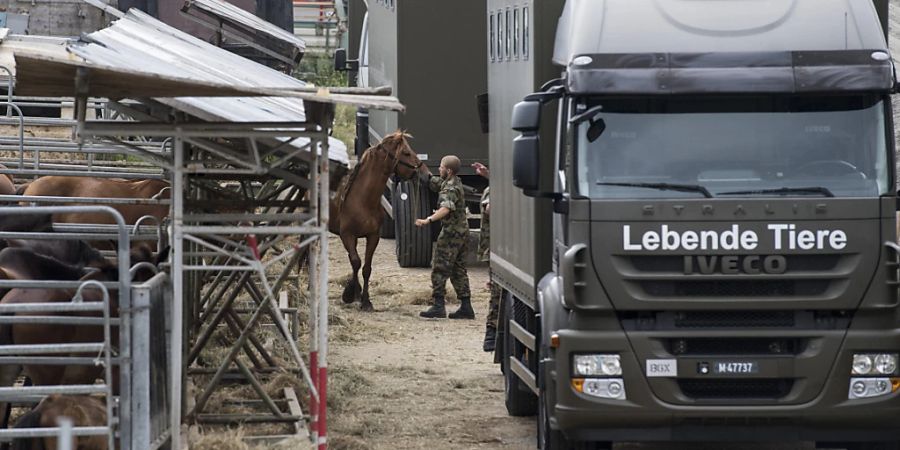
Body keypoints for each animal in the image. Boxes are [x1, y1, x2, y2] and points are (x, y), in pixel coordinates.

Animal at [330, 131, 426, 310]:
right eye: (406, 153)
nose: (426, 174)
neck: (362, 199)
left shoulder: (373, 236)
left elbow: (366, 267)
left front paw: (365, 300)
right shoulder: (347, 235)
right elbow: (356, 262)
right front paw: (350, 294)